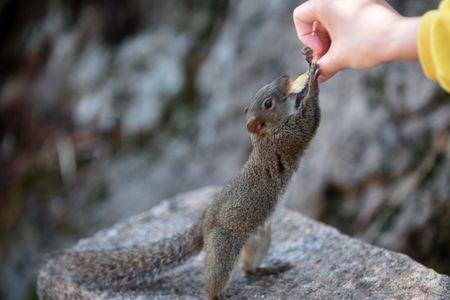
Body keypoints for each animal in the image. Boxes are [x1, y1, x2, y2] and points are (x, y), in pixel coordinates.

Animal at [38, 47, 320, 300]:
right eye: (268, 103)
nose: (284, 76)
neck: (263, 136)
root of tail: (204, 222)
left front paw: (308, 58)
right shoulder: (287, 139)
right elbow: (308, 122)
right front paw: (313, 78)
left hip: (260, 235)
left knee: (249, 268)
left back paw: (265, 269)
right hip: (224, 246)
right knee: (215, 279)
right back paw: (216, 294)